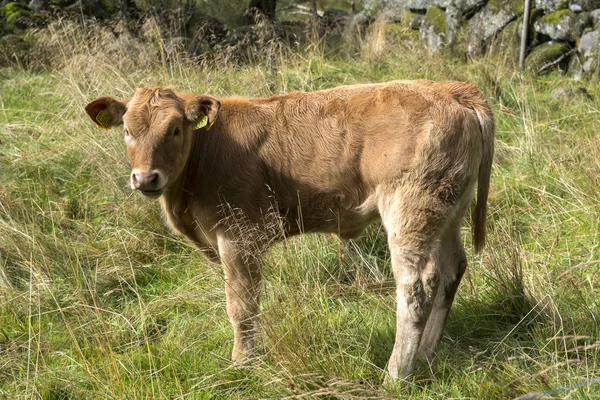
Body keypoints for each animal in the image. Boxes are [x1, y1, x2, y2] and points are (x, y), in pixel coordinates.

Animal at [85, 79, 496, 382]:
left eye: (174, 129)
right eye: (127, 130)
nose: (145, 178)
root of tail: (452, 89)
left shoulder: (239, 236)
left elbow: (241, 307)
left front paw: (241, 365)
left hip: (410, 208)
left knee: (417, 287)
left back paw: (396, 375)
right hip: (447, 210)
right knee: (450, 271)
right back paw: (426, 356)